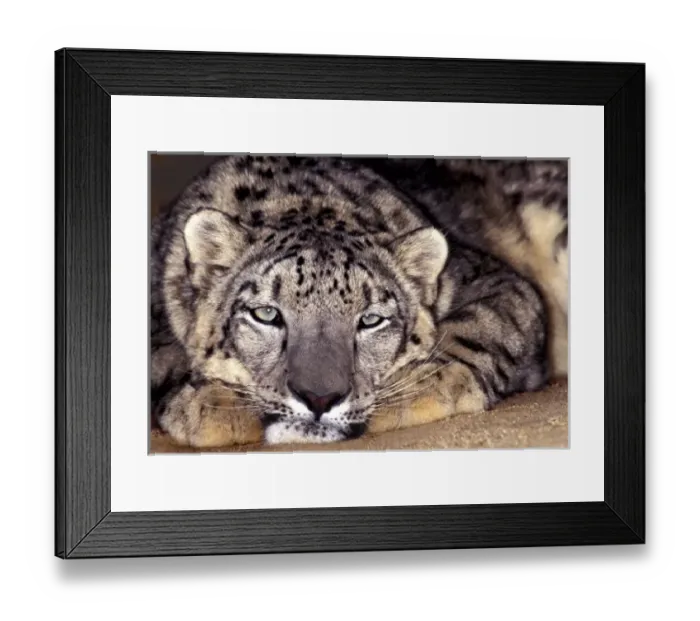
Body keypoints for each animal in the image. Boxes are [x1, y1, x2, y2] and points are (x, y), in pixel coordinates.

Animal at [150, 155, 568, 448]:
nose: (319, 398)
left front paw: (423, 384)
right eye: (266, 314)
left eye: (370, 320)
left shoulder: (490, 277)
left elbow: (483, 323)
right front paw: (211, 400)